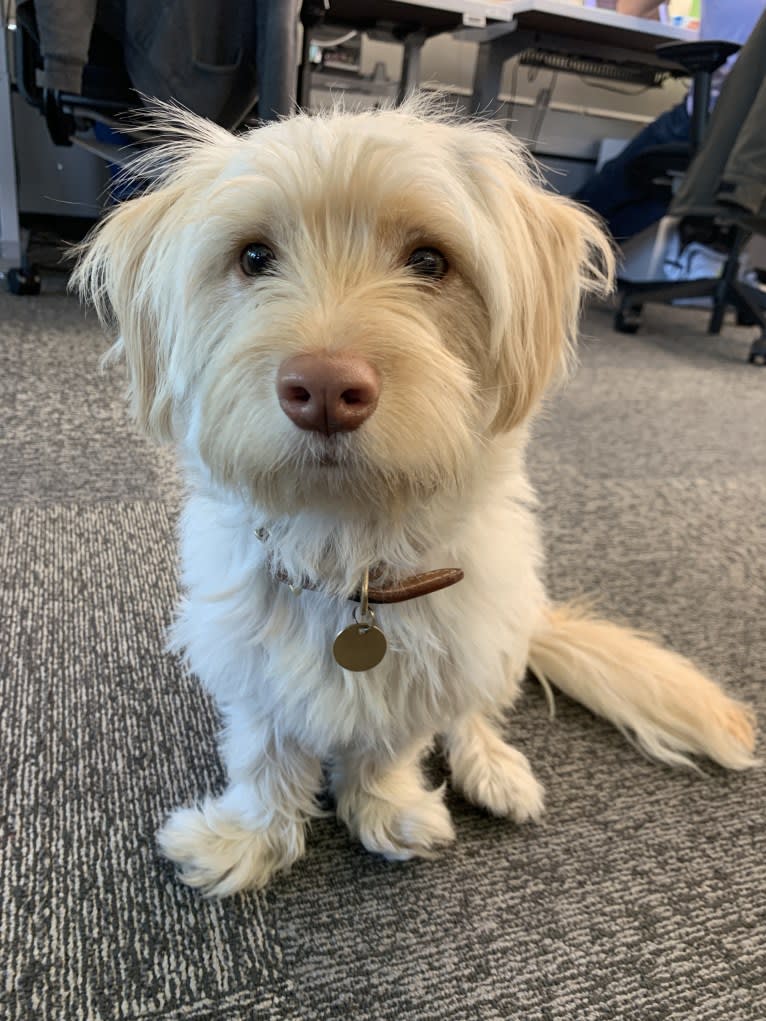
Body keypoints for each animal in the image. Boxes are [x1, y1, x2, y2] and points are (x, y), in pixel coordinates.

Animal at [75, 95, 759, 894]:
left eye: (429, 261)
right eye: (253, 257)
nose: (325, 390)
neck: (350, 548)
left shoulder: (431, 656)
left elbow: (394, 740)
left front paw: (387, 808)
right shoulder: (251, 661)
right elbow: (264, 752)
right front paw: (248, 839)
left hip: (499, 621)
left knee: (478, 708)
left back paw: (493, 766)